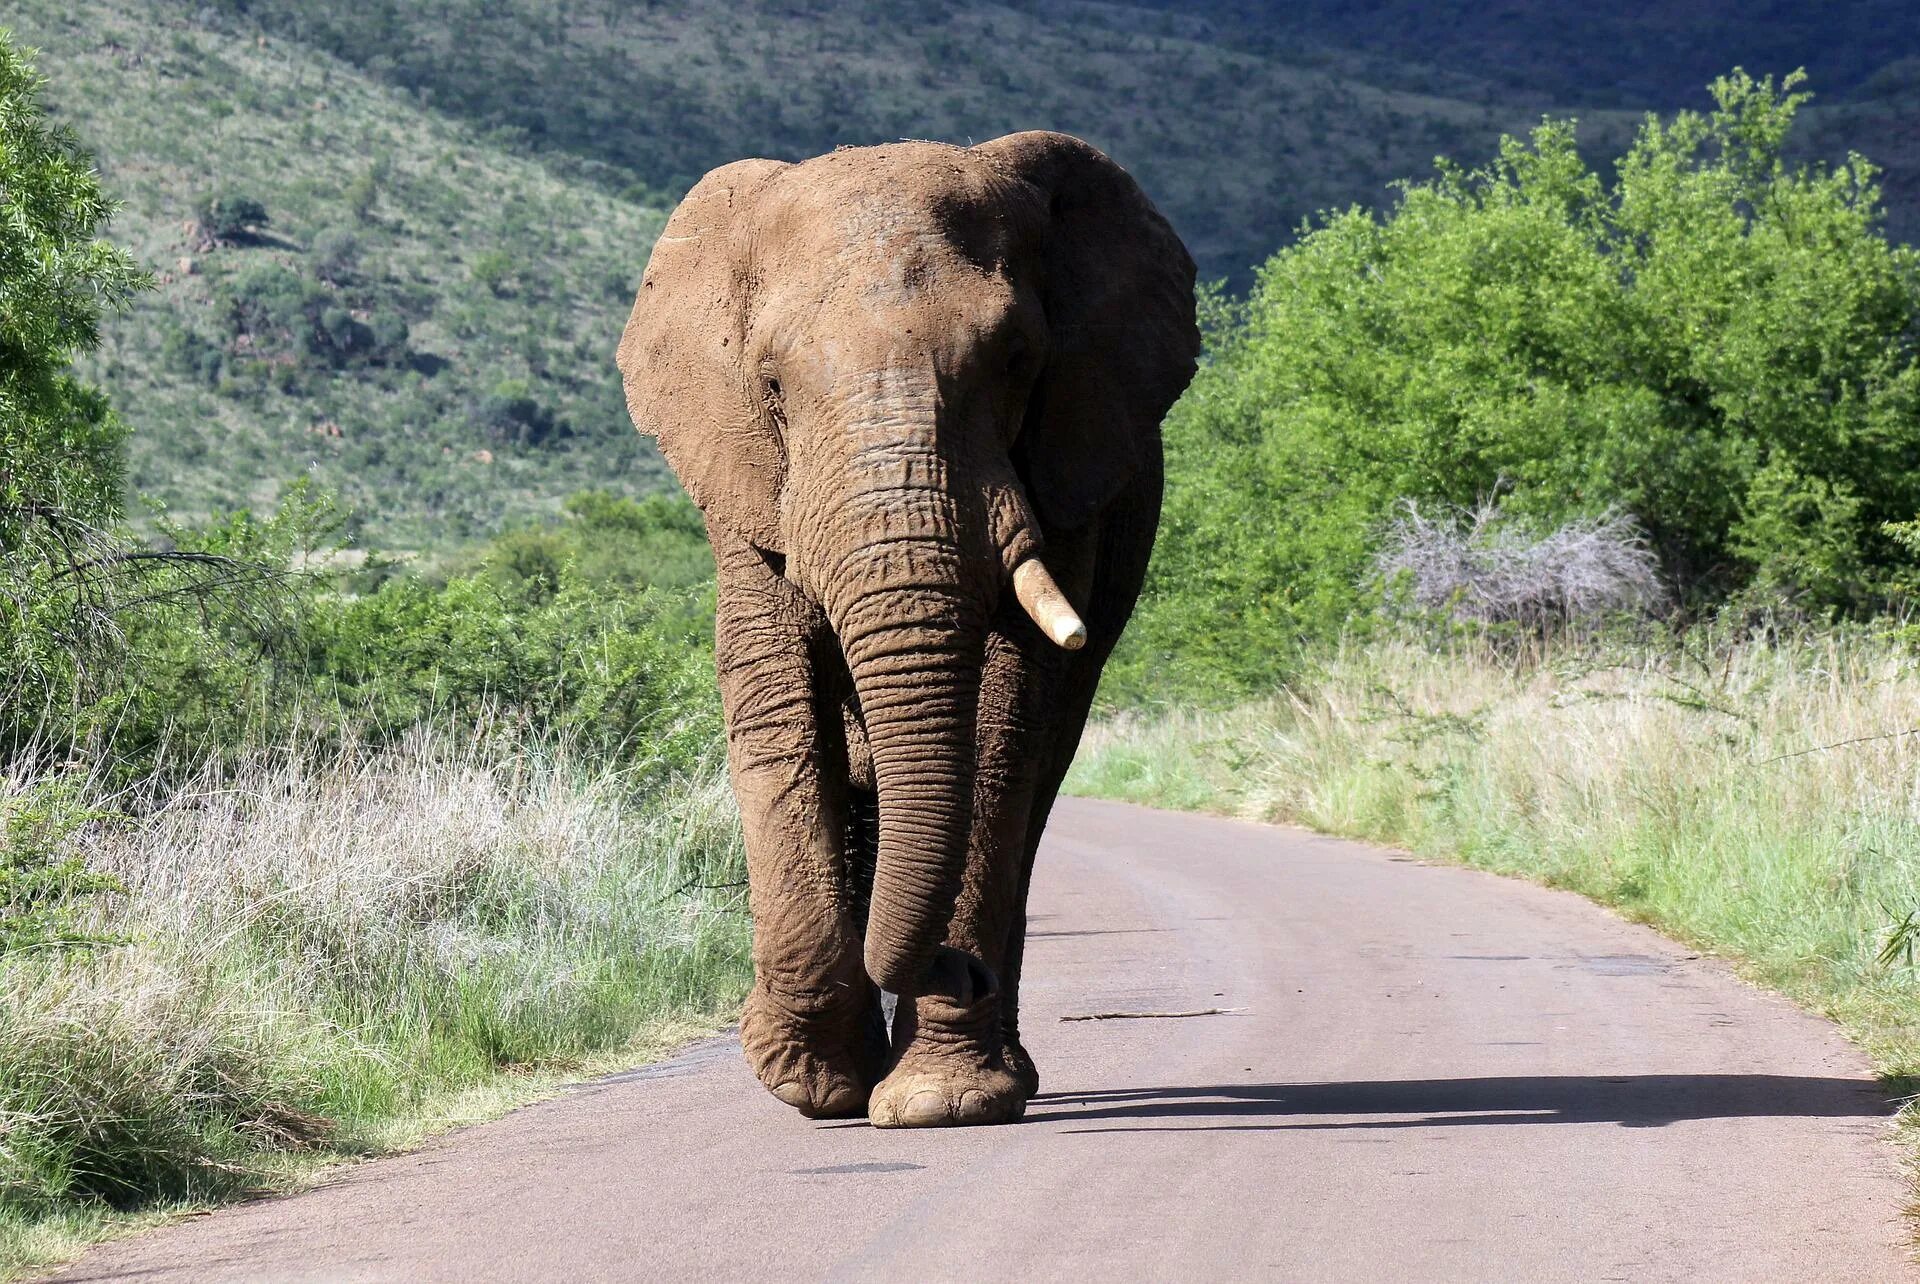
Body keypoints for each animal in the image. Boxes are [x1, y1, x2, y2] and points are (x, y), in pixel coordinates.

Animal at [614, 130, 1190, 1128]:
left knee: (1034, 790)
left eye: (1016, 361)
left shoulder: (1066, 465)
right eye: (770, 381)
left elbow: (1004, 722)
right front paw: (807, 1085)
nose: (960, 973)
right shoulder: (745, 482)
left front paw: (938, 1104)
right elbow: (777, 704)